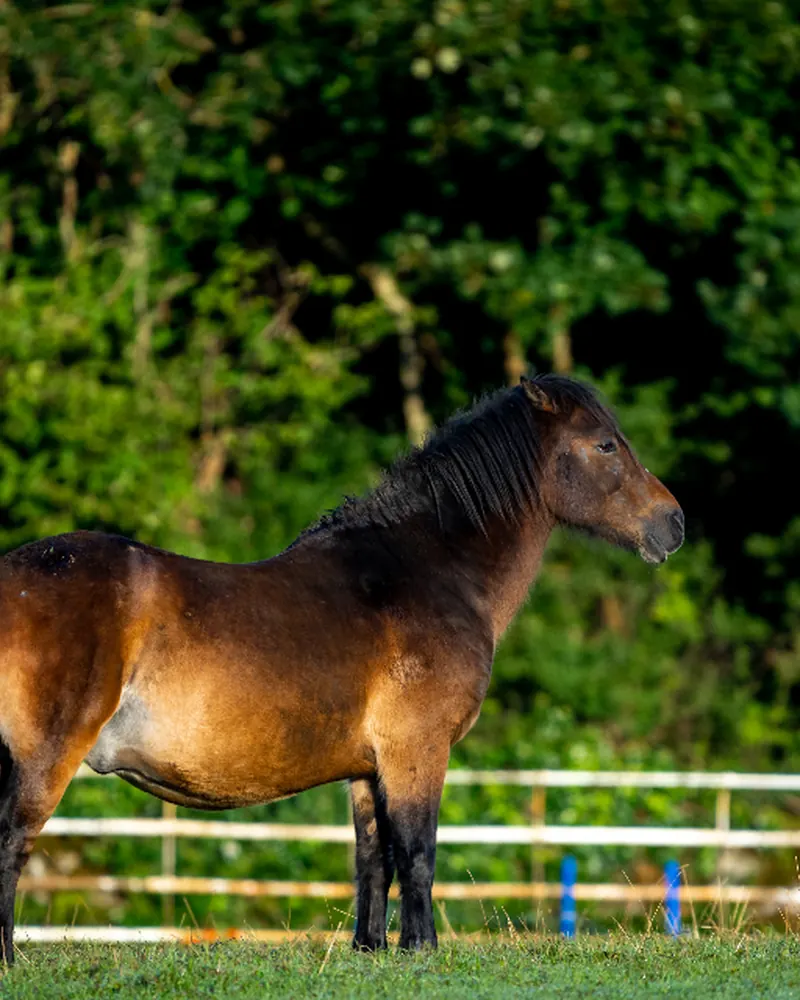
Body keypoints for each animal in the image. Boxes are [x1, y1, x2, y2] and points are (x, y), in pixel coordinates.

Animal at [0, 374, 683, 963]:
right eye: (605, 444)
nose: (673, 522)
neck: (428, 572)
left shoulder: (367, 770)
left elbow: (373, 860)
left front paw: (372, 948)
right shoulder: (417, 752)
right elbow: (417, 852)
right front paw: (421, 949)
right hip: (45, 756)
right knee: (12, 840)